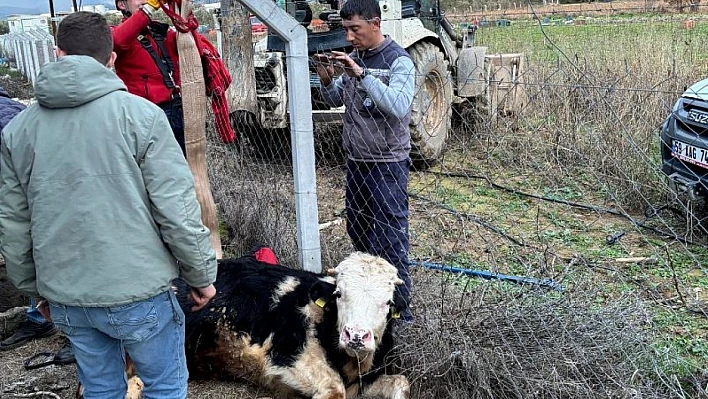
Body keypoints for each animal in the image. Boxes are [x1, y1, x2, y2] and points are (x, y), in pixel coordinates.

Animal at [175, 253, 412, 399]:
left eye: (388, 302)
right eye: (339, 294)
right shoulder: (285, 356)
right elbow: (334, 388)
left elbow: (402, 383)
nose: (355, 335)